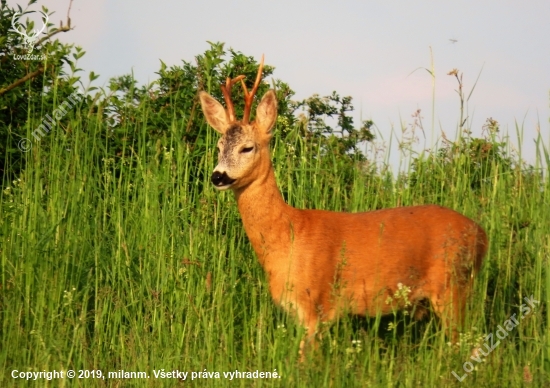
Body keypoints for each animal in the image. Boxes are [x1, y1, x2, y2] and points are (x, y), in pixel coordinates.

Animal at [199, 55, 492, 358]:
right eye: (219, 146)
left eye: (247, 147)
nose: (218, 176)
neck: (289, 234)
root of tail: (482, 234)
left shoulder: (315, 305)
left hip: (453, 284)